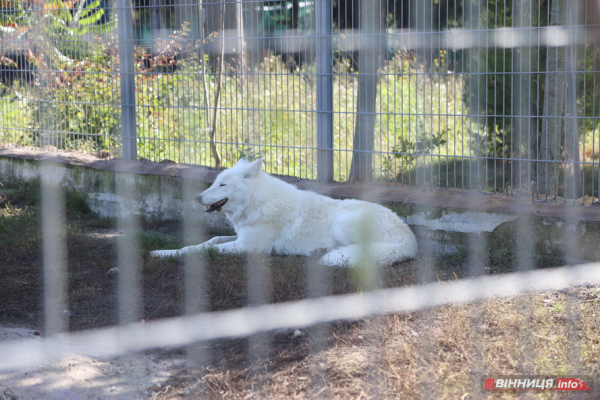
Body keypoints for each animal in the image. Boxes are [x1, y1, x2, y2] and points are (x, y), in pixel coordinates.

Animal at [150, 158, 418, 268]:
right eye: (214, 182)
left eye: (222, 185)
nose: (197, 198)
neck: (258, 203)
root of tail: (410, 241)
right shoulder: (240, 237)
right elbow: (209, 240)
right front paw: (161, 251)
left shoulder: (247, 247)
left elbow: (198, 249)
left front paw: (166, 253)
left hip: (341, 223)